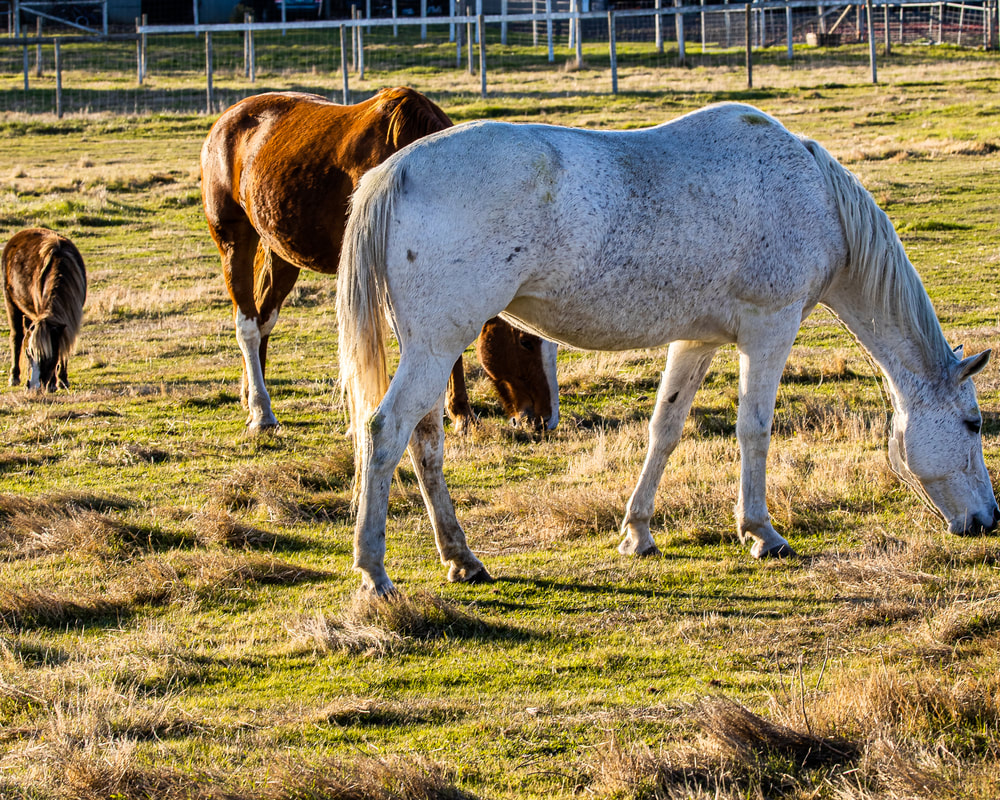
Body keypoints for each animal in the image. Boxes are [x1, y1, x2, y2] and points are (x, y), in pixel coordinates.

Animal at [3, 228, 87, 392]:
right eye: (28, 353)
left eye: (49, 356)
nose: (34, 386)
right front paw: (53, 383)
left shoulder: (72, 317)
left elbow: (64, 345)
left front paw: (62, 380)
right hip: (11, 303)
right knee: (16, 336)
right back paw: (14, 376)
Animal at [200, 87, 558, 433]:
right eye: (526, 342)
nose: (542, 420)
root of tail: (228, 119)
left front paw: (461, 413)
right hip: (234, 241)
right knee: (248, 325)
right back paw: (262, 412)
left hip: (282, 251)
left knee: (263, 320)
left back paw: (250, 396)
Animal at [336, 102, 998, 595]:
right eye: (972, 424)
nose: (988, 522)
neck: (813, 196)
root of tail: (394, 172)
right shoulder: (770, 329)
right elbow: (754, 429)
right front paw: (760, 533)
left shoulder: (696, 340)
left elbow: (665, 430)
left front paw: (637, 533)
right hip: (435, 345)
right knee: (384, 432)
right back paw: (374, 571)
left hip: (431, 348)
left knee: (424, 440)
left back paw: (462, 557)